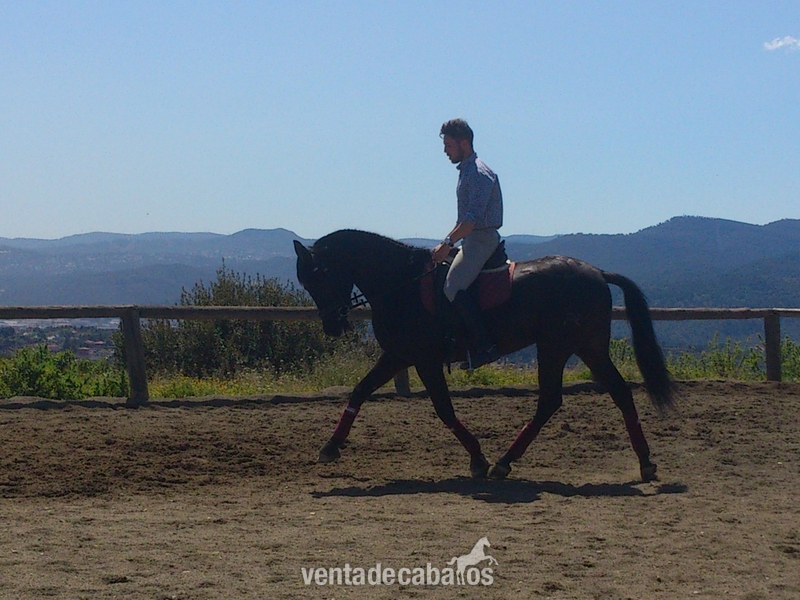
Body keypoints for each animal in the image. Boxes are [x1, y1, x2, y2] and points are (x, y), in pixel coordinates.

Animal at [293, 229, 675, 481]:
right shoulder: (399, 355)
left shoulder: (423, 358)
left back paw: (506, 461)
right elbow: (359, 391)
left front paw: (478, 458)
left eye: (319, 276)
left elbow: (444, 409)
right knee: (609, 393)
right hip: (584, 347)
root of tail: (597, 272)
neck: (402, 285)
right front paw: (330, 446)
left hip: (558, 346)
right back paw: (643, 461)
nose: (332, 325)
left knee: (556, 399)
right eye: (307, 282)